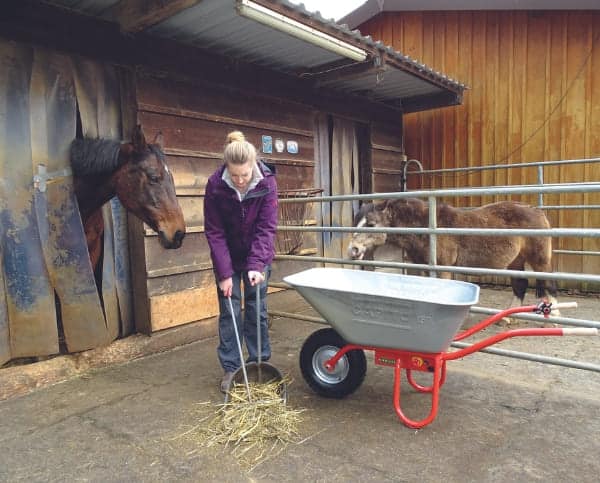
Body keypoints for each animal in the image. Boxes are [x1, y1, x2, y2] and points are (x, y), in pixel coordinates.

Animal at [346, 199, 556, 312]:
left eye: (371, 224)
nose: (353, 250)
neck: (425, 227)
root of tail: (538, 211)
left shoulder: (443, 268)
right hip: (515, 261)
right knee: (520, 285)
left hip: (540, 260)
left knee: (548, 283)